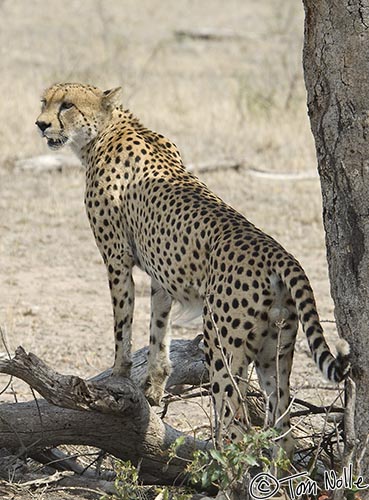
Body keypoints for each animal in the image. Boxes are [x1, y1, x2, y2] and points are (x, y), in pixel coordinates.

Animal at [36, 83, 350, 458]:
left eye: (67, 105)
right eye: (45, 101)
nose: (40, 124)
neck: (107, 130)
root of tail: (279, 254)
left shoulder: (116, 258)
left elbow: (122, 325)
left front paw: (118, 376)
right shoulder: (161, 275)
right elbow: (158, 329)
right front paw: (154, 388)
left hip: (222, 348)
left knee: (236, 425)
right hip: (275, 353)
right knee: (282, 429)